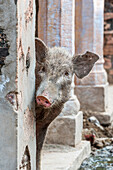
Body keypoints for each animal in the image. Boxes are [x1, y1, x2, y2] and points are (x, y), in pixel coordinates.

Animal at [34, 37, 98, 169]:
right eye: (43, 69)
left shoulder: (45, 123)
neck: (42, 112)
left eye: (66, 73)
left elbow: (38, 149)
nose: (43, 96)